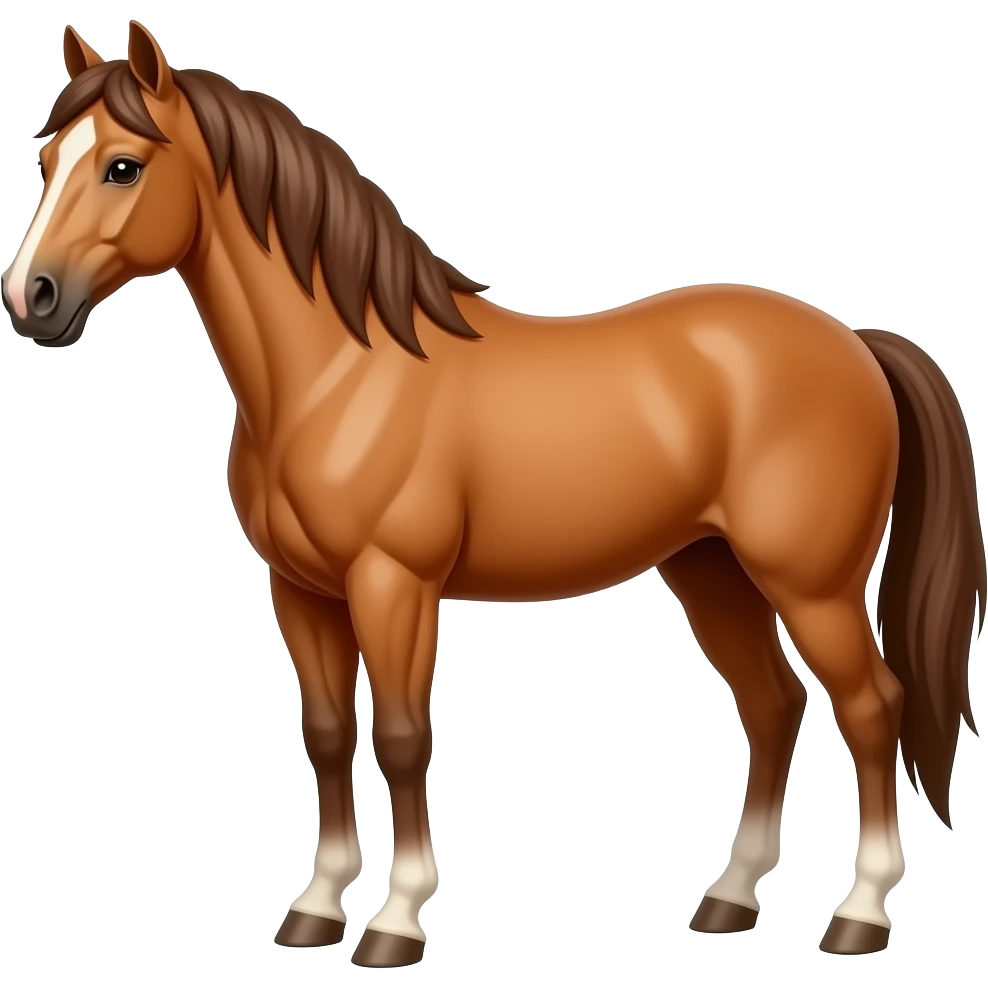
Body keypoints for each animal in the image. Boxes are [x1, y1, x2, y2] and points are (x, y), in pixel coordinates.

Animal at [2, 20, 984, 965]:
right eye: (45, 164)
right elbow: (327, 733)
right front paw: (315, 909)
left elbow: (402, 739)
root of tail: (856, 341)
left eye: (123, 165)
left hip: (810, 585)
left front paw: (395, 922)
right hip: (711, 570)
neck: (339, 373)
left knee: (872, 707)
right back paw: (731, 899)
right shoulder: (301, 592)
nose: (31, 298)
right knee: (774, 705)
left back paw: (859, 915)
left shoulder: (393, 585)